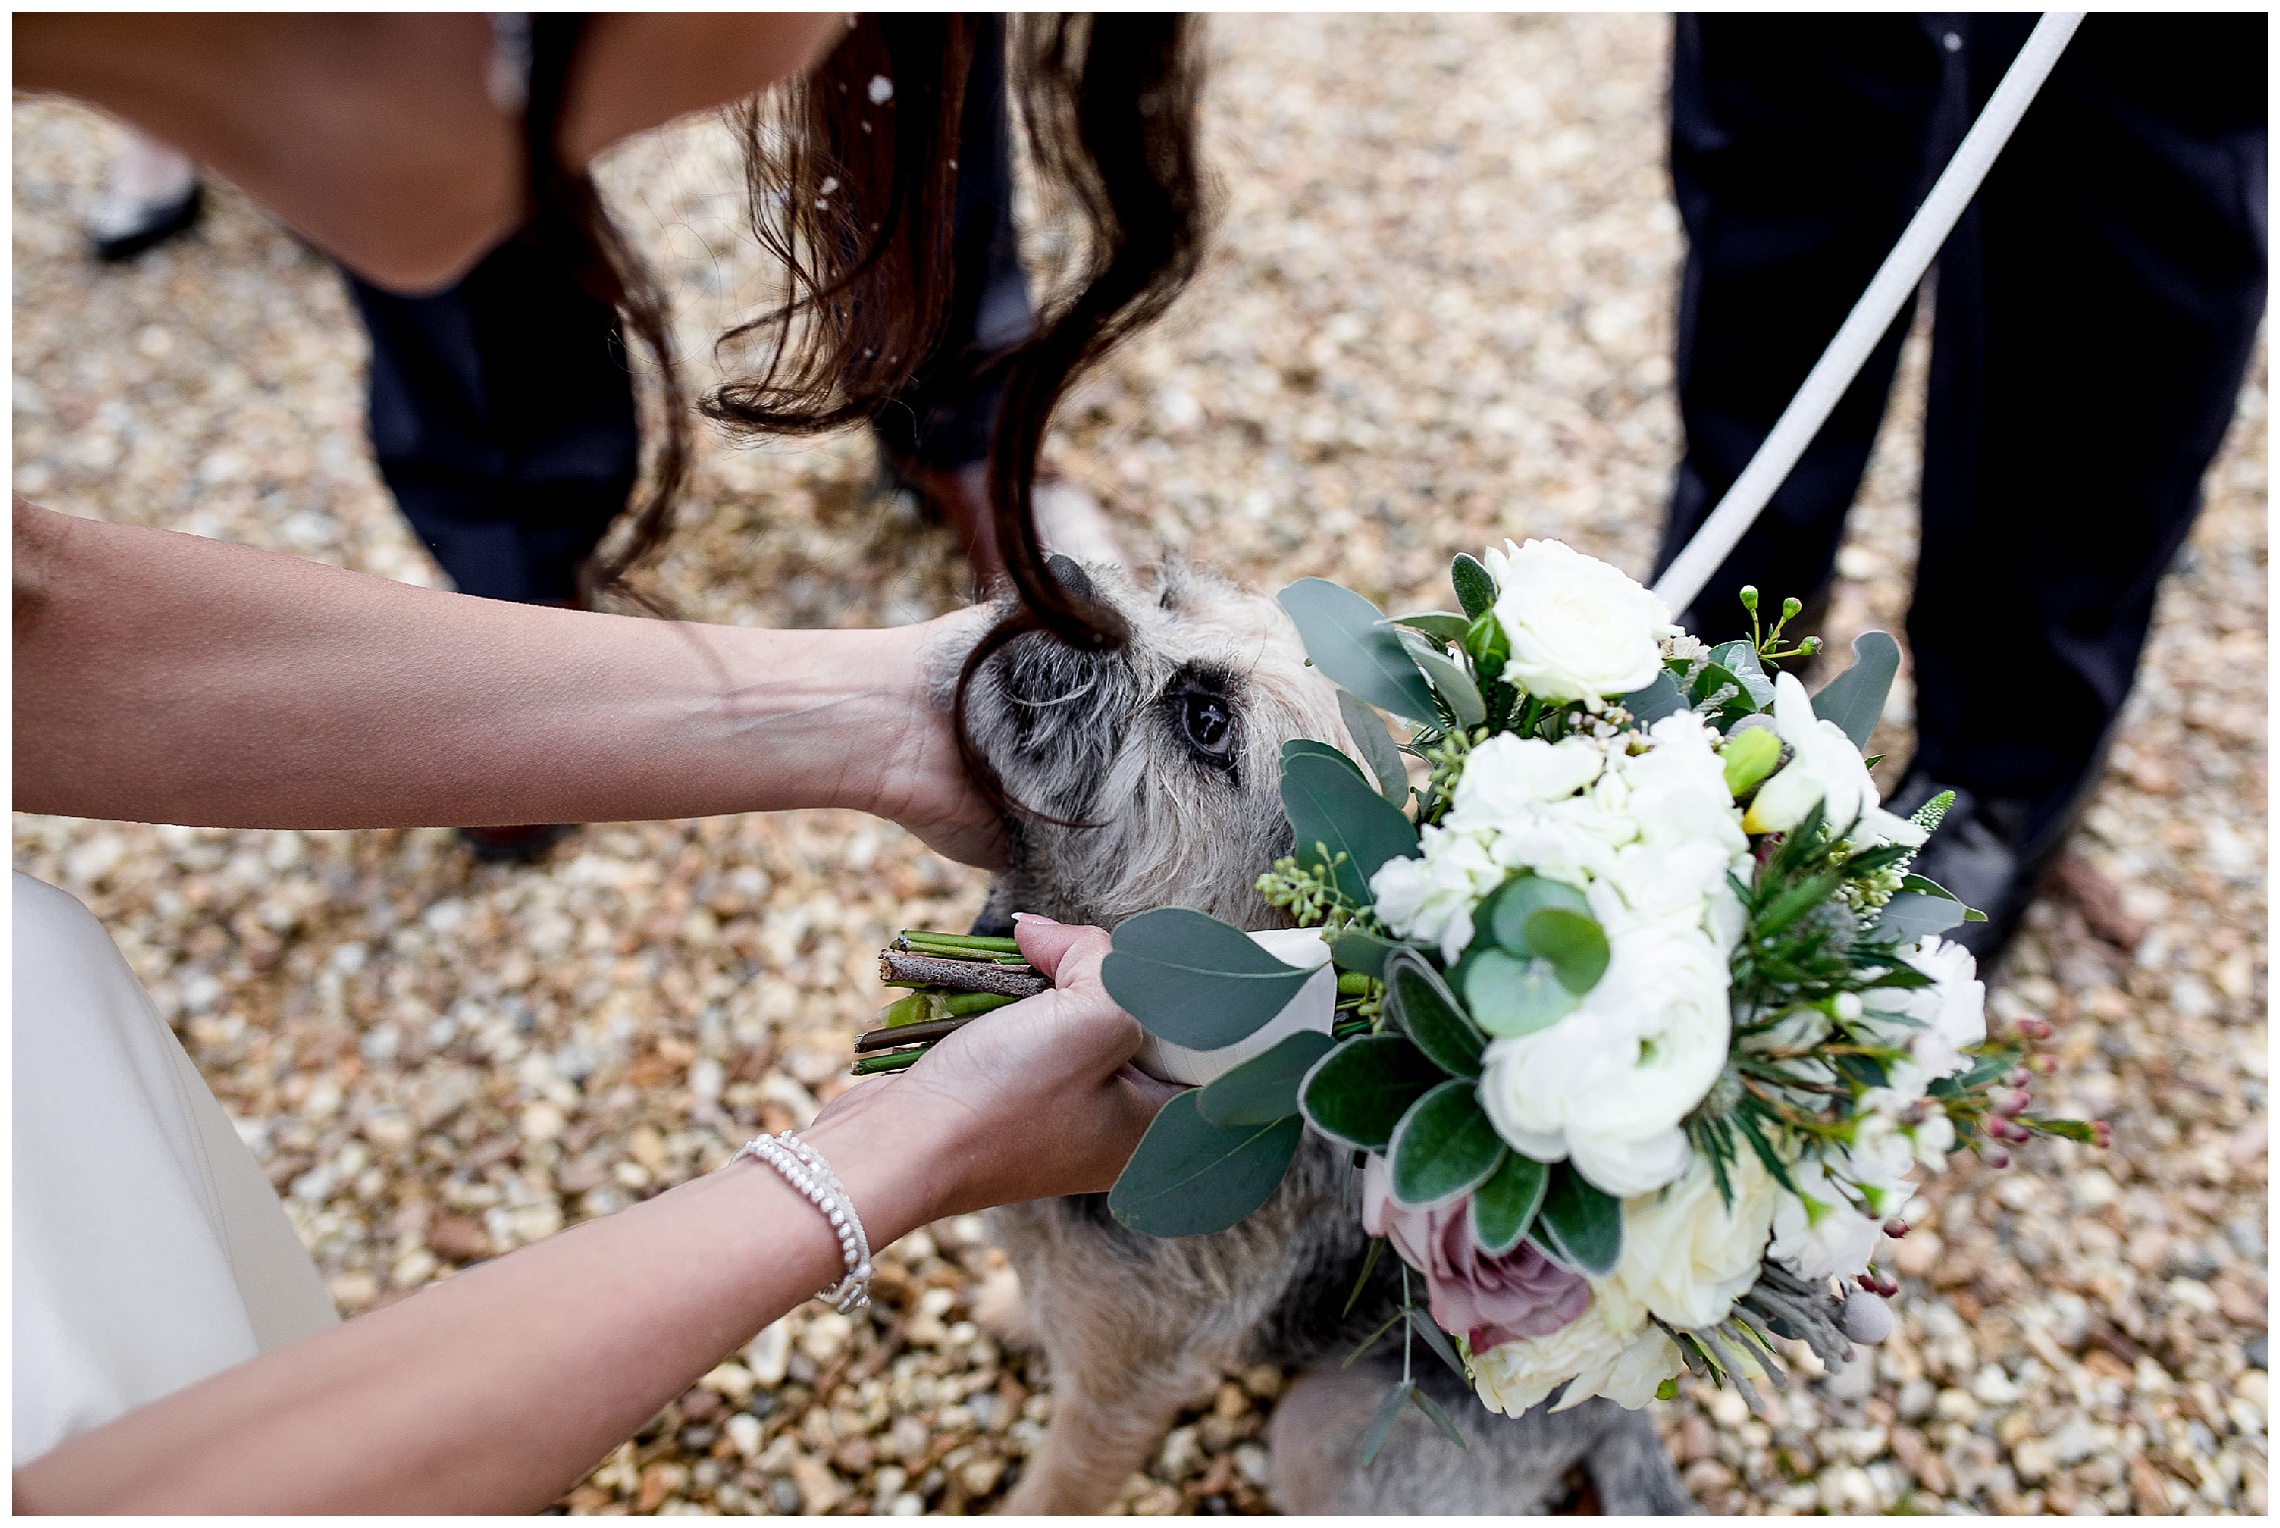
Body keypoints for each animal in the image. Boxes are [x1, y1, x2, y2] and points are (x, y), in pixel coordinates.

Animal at [934, 563, 1705, 1523]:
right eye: (1168, 597)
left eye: (1207, 721)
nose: (1064, 577)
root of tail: (1617, 1402)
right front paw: (1012, 1307)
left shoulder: (1119, 1395)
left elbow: (1054, 1486)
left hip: (1322, 1436)